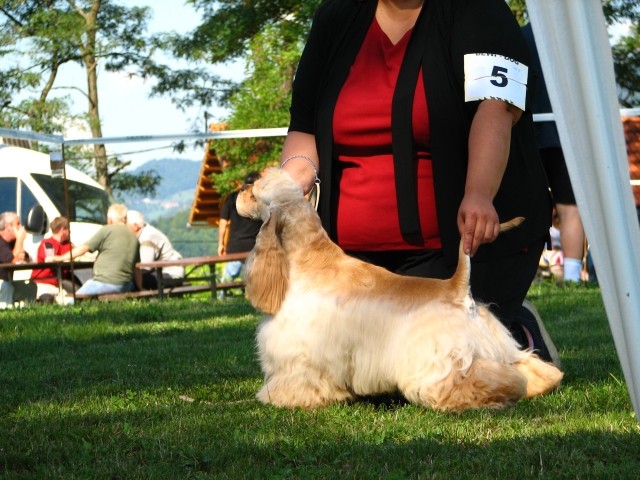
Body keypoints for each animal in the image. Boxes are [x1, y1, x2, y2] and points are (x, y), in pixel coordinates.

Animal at [238, 167, 564, 410]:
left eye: (254, 188)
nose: (241, 186)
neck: (307, 255)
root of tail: (457, 286)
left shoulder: (301, 347)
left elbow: (298, 377)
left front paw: (281, 398)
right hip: (495, 343)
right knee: (525, 365)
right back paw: (540, 383)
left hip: (442, 357)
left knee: (475, 379)